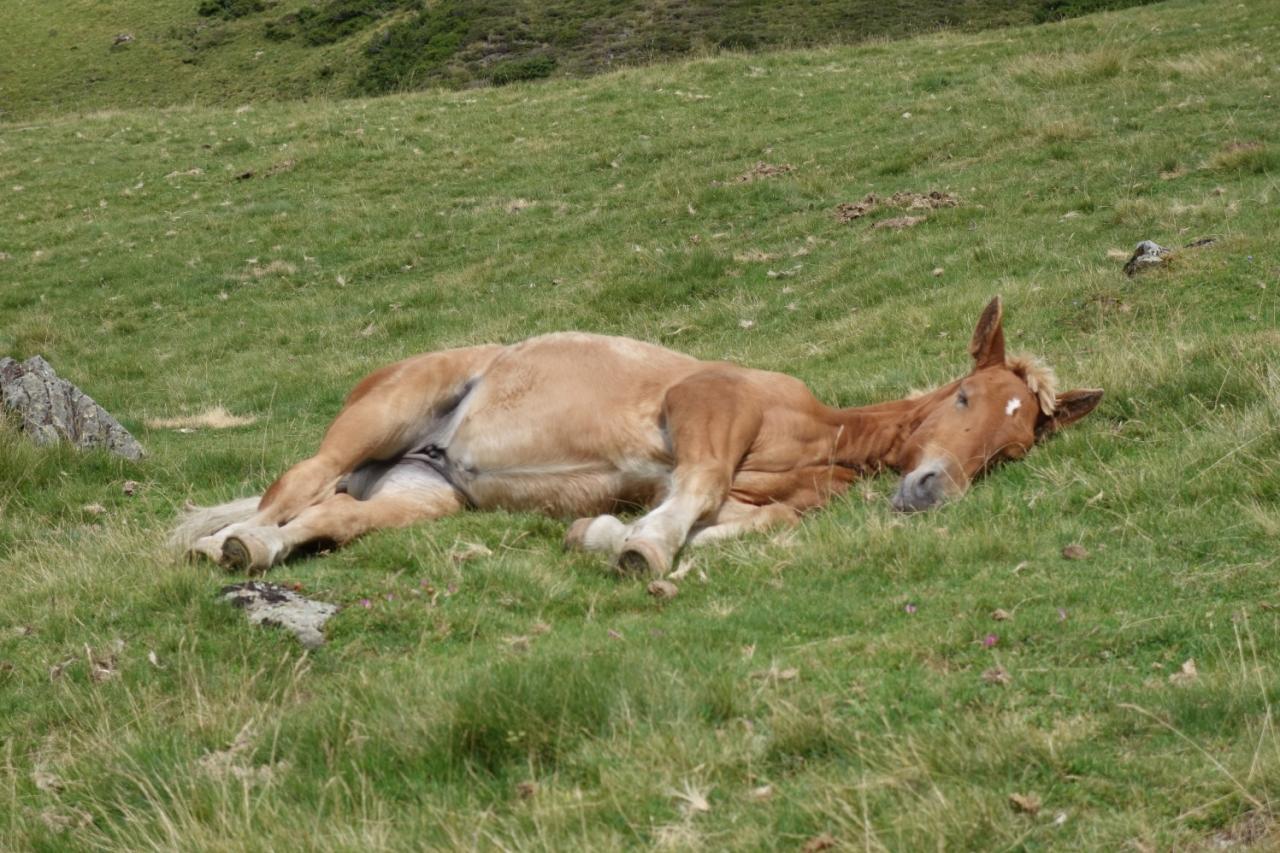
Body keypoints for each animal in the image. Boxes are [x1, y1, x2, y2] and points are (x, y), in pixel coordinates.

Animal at [177, 297, 1100, 571]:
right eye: (964, 397)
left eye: (1011, 447)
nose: (931, 488)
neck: (815, 434)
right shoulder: (704, 410)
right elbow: (693, 491)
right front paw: (640, 547)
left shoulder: (765, 497)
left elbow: (746, 522)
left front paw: (603, 529)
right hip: (378, 418)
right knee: (299, 480)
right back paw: (225, 540)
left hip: (423, 495)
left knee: (331, 515)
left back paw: (253, 549)